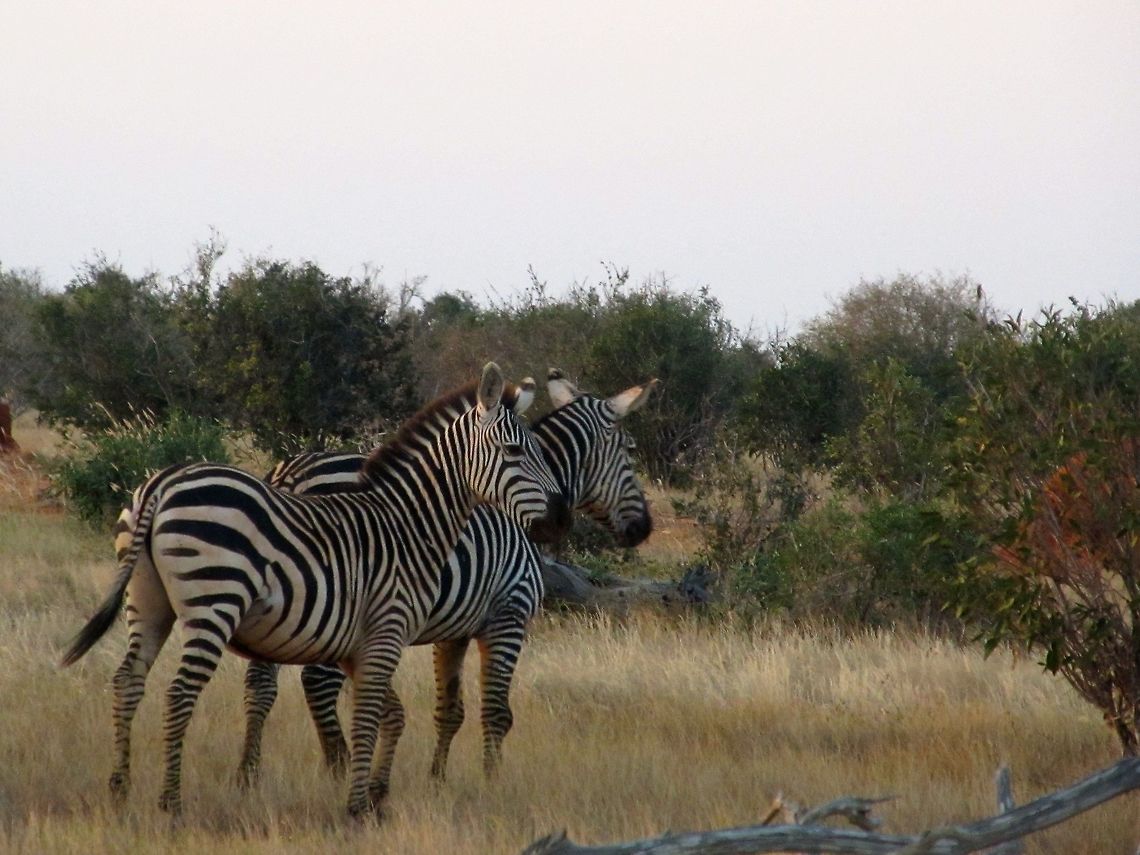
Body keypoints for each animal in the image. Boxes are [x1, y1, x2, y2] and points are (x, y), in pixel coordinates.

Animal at [62, 362, 570, 819]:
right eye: (514, 451)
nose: (560, 519)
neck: (410, 524)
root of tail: (163, 483)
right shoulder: (400, 629)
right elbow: (373, 715)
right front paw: (358, 805)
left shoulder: (359, 645)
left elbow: (392, 714)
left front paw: (374, 797)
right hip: (213, 603)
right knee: (180, 692)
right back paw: (171, 803)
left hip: (146, 603)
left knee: (128, 679)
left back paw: (120, 790)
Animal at [236, 368, 657, 791]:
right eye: (630, 450)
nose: (643, 529)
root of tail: (291, 472)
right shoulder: (510, 612)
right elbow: (497, 713)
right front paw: (491, 784)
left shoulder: (453, 630)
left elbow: (450, 710)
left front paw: (437, 780)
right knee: (317, 684)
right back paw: (338, 767)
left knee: (261, 681)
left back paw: (250, 774)